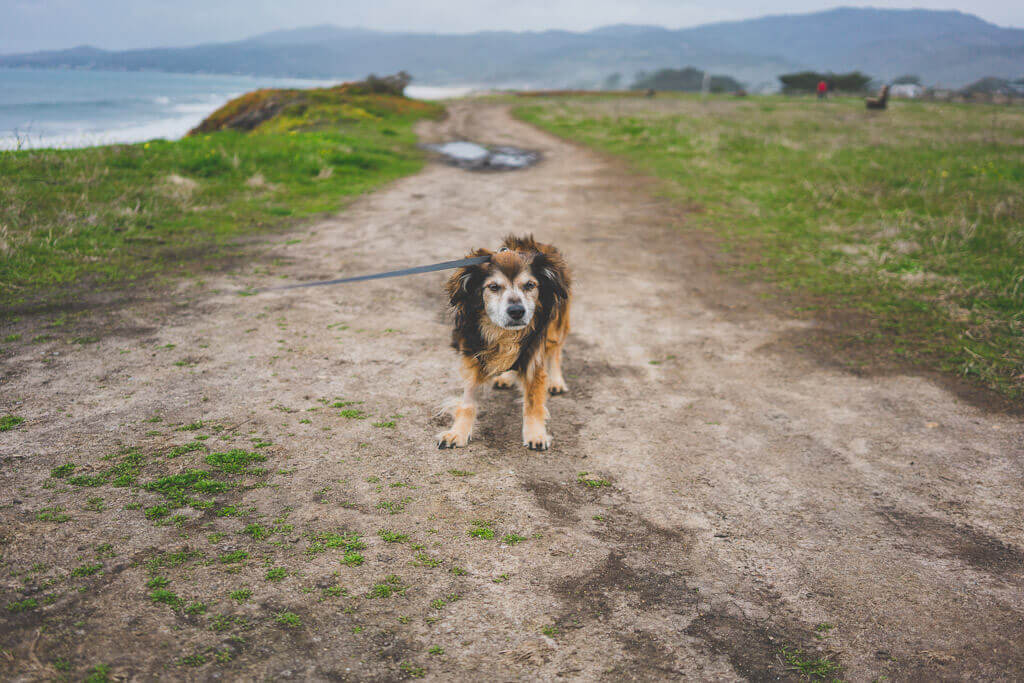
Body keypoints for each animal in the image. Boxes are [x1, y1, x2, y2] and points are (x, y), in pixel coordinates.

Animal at [436, 232, 573, 450]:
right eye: (493, 287)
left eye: (530, 285)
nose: (517, 311)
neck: (503, 333)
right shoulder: (474, 354)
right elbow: (468, 401)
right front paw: (458, 432)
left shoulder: (534, 356)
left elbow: (533, 401)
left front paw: (535, 434)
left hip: (557, 324)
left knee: (556, 351)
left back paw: (556, 380)